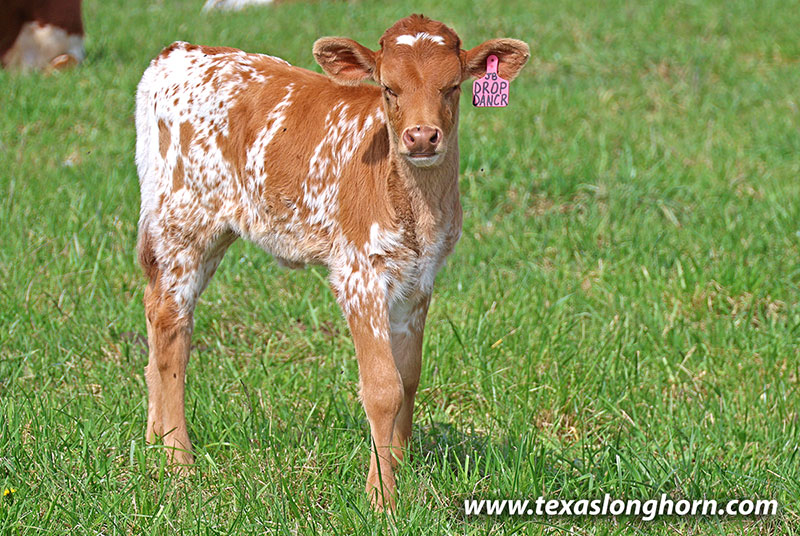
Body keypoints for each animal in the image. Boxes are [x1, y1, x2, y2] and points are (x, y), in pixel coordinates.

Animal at [135, 14, 529, 509]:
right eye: (388, 88)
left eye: (453, 86)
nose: (421, 137)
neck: (415, 204)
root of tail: (177, 52)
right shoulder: (358, 272)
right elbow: (382, 387)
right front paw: (381, 497)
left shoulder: (420, 278)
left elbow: (409, 376)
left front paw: (400, 468)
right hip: (183, 222)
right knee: (173, 325)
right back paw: (178, 459)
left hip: (208, 230)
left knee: (156, 309)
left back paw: (153, 440)